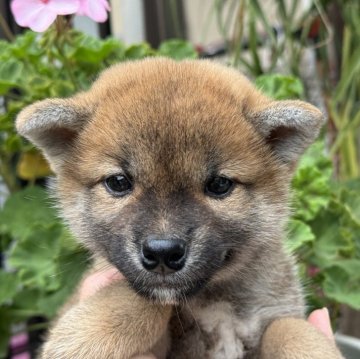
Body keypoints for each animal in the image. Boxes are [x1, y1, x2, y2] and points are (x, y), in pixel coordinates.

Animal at [16, 59, 344, 359]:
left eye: (219, 184)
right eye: (118, 182)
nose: (163, 252)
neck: (216, 301)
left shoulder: (276, 309)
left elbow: (290, 329)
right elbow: (140, 300)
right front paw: (84, 334)